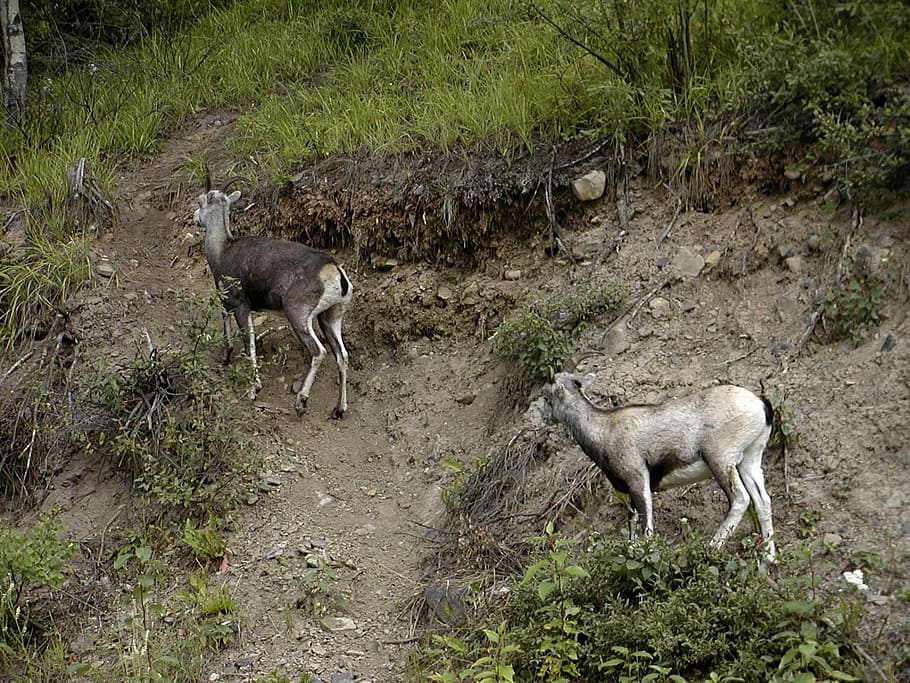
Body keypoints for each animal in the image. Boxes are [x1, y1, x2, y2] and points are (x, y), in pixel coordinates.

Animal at [193, 186, 353, 418]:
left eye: (199, 202)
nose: (195, 217)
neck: (223, 250)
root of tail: (335, 271)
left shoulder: (240, 306)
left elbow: (248, 342)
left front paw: (254, 389)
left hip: (298, 316)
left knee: (318, 352)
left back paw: (301, 402)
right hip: (329, 318)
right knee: (342, 356)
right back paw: (339, 409)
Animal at [541, 356, 776, 563]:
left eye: (546, 396)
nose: (543, 417)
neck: (605, 429)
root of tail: (760, 404)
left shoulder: (638, 479)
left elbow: (647, 524)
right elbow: (632, 528)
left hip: (720, 460)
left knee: (740, 499)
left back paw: (710, 549)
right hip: (749, 460)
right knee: (762, 501)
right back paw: (768, 560)